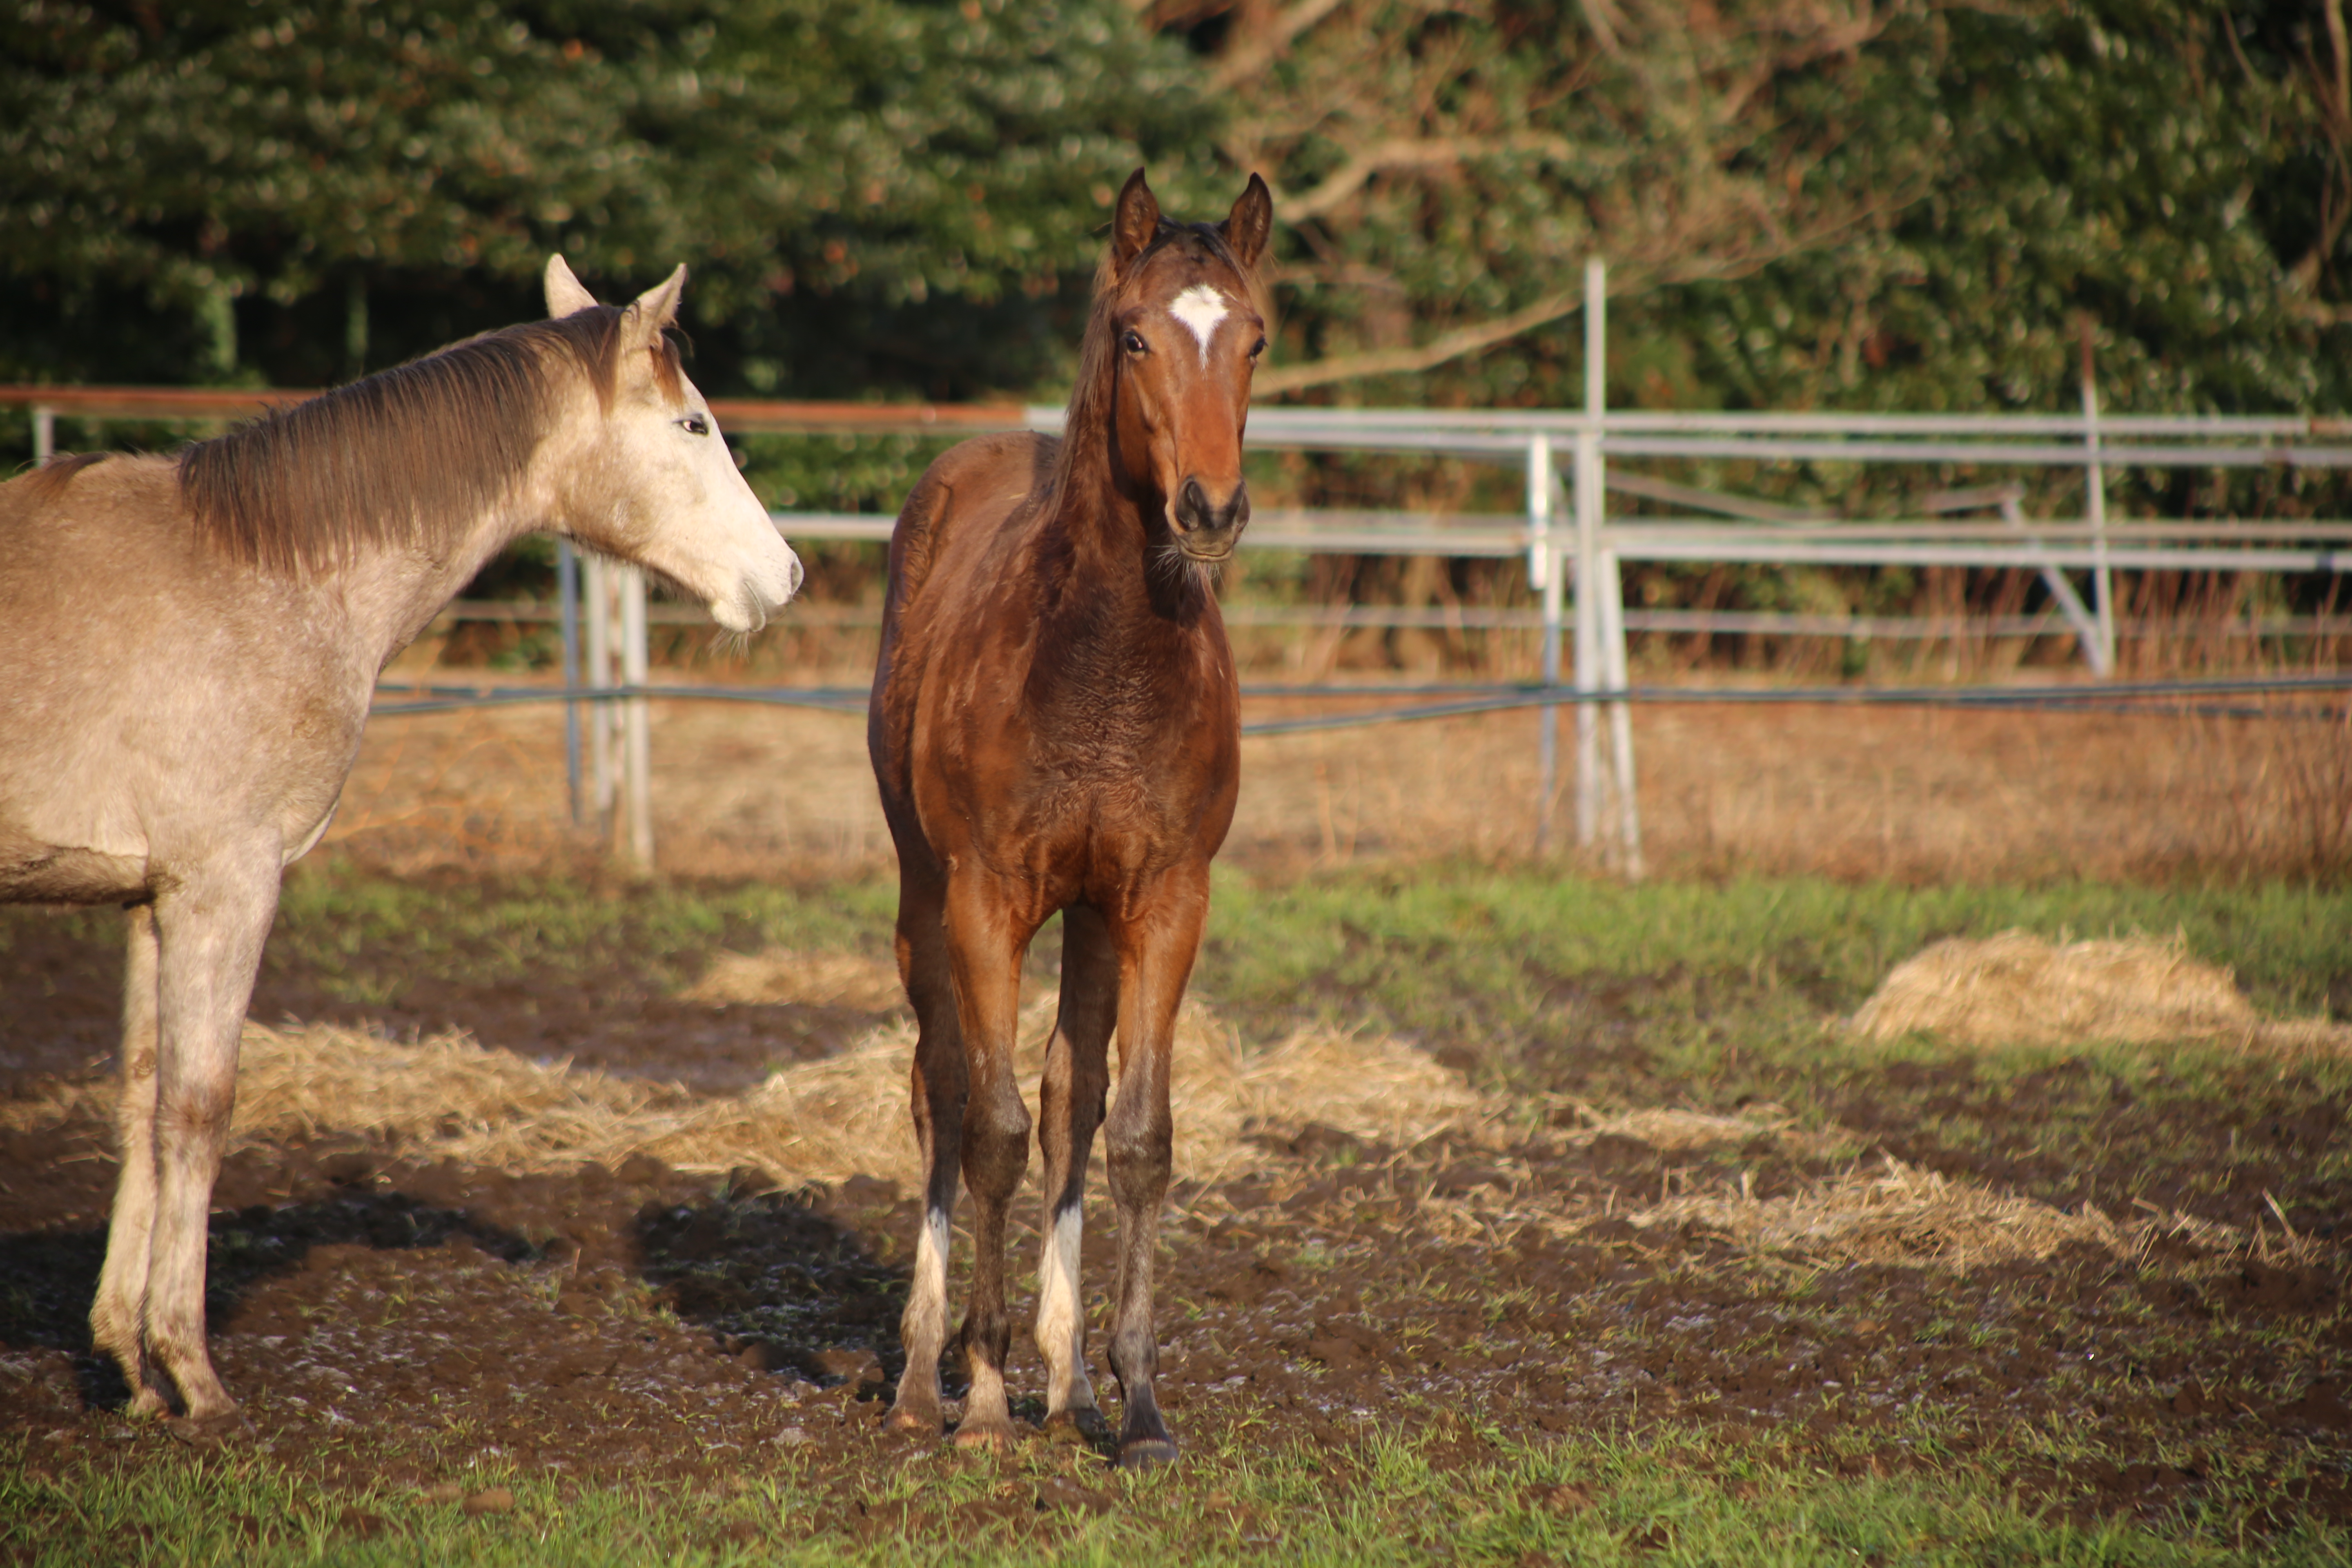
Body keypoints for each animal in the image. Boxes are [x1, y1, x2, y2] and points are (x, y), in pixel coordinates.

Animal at [0, 261, 804, 1448]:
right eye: (693, 423)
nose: (783, 574)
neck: (261, 573)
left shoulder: (153, 897)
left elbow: (143, 1105)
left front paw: (133, 1368)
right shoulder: (226, 885)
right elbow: (200, 1109)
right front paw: (192, 1370)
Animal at [870, 165, 1270, 1467]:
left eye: (1254, 338)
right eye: (1136, 335)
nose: (1209, 508)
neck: (1099, 660)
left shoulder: (1164, 897)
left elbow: (1133, 1133)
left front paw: (1132, 1402)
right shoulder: (985, 895)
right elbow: (987, 1129)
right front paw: (986, 1398)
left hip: (1090, 918)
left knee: (1067, 1096)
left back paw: (1071, 1384)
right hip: (922, 894)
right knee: (941, 1086)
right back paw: (926, 1375)